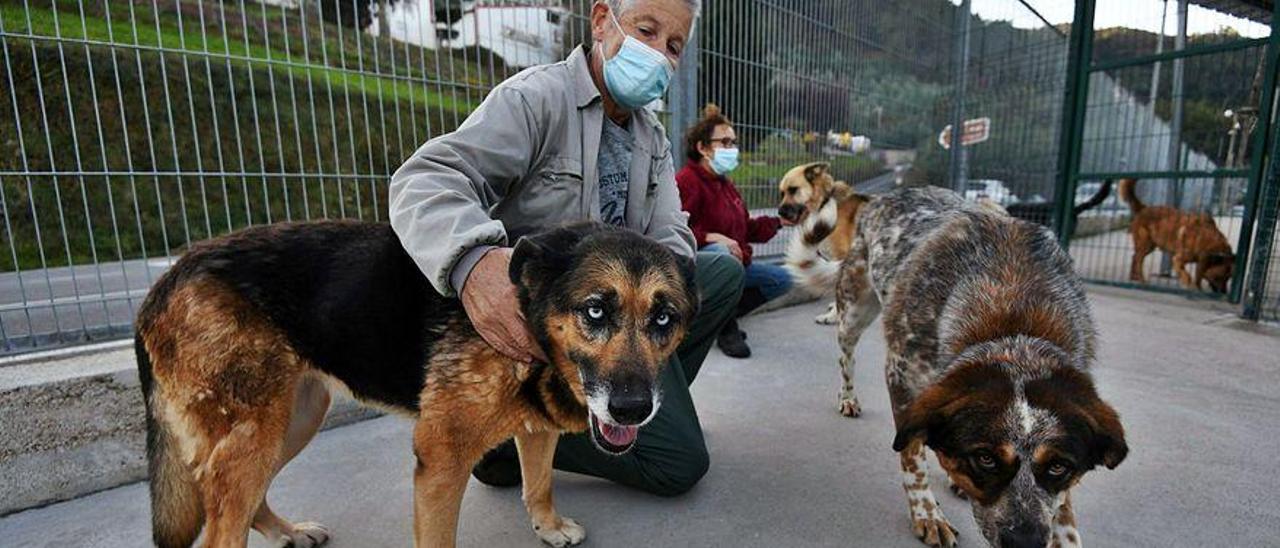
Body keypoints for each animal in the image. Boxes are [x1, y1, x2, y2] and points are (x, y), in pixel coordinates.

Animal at [135, 220, 696, 545]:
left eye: (664, 319)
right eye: (595, 310)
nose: (631, 408)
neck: (526, 316)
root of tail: (167, 278)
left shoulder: (536, 428)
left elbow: (539, 484)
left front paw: (548, 526)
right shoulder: (440, 461)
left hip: (292, 420)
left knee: (247, 500)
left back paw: (288, 532)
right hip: (257, 434)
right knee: (222, 526)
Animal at [783, 180, 1126, 548]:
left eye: (1059, 467)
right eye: (985, 459)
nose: (1025, 542)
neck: (1012, 319)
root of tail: (887, 197)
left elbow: (1062, 508)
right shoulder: (901, 376)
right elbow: (912, 457)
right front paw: (927, 514)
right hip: (854, 312)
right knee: (846, 357)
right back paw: (848, 397)